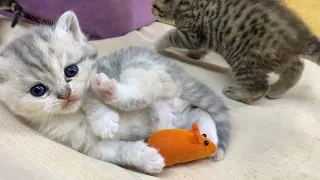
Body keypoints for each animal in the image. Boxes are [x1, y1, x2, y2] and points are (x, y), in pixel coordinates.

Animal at [0, 10, 230, 174]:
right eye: (38, 90)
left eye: (71, 70)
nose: (65, 94)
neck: (73, 116)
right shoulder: (93, 148)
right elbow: (121, 150)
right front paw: (148, 159)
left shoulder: (101, 71)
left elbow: (90, 96)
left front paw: (103, 120)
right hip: (179, 113)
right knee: (199, 112)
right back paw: (207, 138)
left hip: (140, 67)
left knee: (141, 95)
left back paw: (110, 91)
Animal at [151, 0, 320, 104]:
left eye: (155, 5)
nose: (151, 8)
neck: (184, 4)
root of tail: (300, 38)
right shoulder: (204, 37)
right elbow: (202, 48)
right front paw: (195, 55)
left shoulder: (192, 34)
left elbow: (170, 35)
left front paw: (157, 45)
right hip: (274, 59)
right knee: (297, 67)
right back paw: (278, 90)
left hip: (244, 60)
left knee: (261, 86)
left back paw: (239, 93)